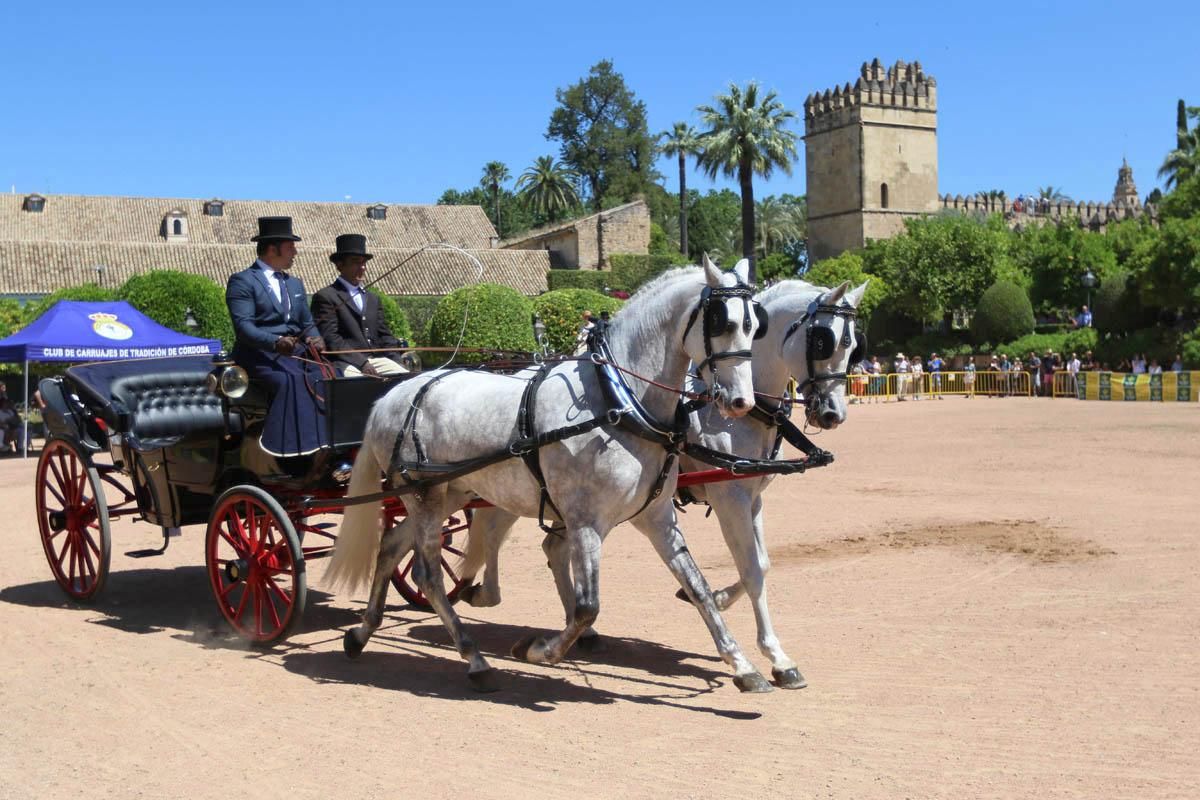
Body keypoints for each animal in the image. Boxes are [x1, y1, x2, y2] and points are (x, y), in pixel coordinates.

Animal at [456, 280, 864, 690]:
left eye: (853, 346)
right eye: (823, 341)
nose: (833, 413)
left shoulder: (752, 497)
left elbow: (761, 565)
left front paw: (768, 648)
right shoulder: (729, 495)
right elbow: (750, 567)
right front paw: (758, 645)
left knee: (549, 548)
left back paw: (577, 629)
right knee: (490, 532)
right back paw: (478, 593)